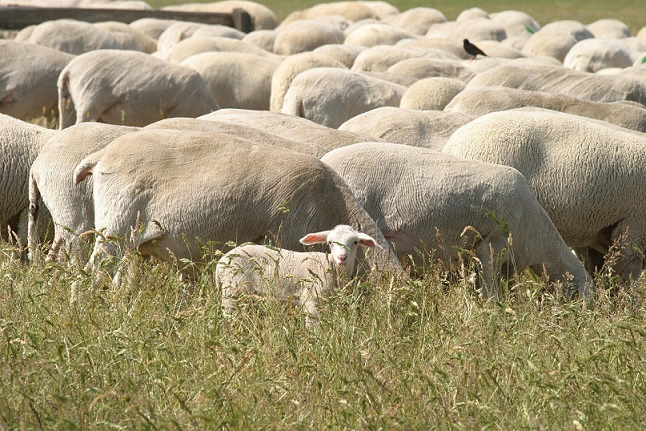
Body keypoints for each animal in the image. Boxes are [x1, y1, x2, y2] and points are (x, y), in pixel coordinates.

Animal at [216, 225, 378, 326]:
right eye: (330, 242)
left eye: (355, 242)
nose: (342, 258)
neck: (331, 267)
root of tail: (220, 263)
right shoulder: (311, 299)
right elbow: (313, 326)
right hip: (232, 291)